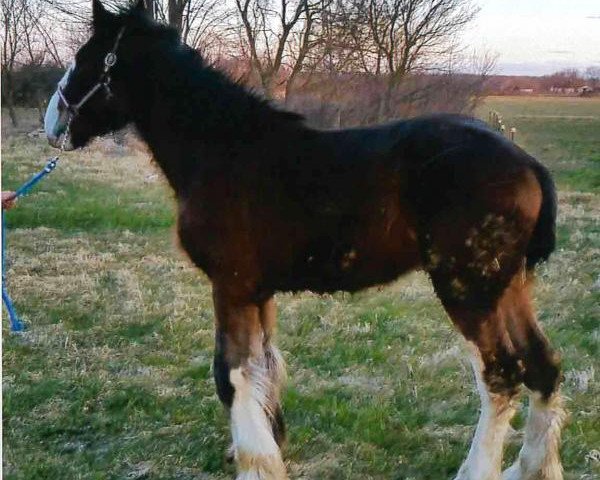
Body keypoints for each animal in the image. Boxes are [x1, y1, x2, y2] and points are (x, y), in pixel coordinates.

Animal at [44, 1, 564, 478]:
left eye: (85, 59)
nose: (53, 124)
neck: (224, 151)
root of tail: (527, 163)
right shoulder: (257, 291)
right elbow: (264, 367)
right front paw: (267, 445)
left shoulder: (230, 285)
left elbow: (231, 374)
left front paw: (256, 463)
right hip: (508, 286)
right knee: (543, 367)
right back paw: (534, 467)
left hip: (468, 290)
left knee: (501, 376)